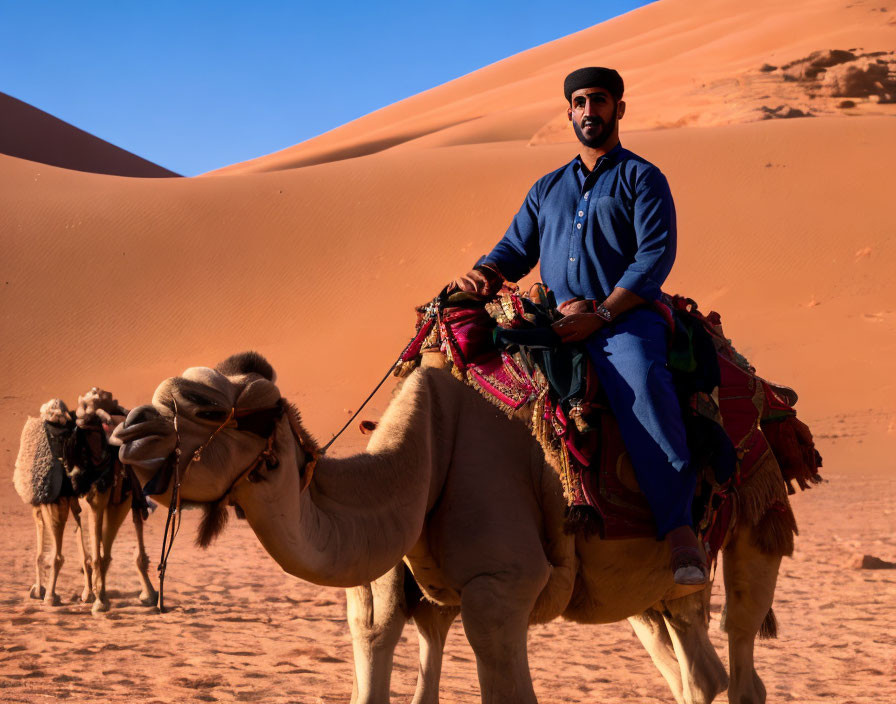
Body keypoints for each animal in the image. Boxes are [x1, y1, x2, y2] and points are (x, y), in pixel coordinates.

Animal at [114, 352, 800, 704]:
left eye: (204, 407)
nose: (127, 430)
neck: (423, 459)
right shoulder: (392, 596)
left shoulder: (498, 590)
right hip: (649, 591)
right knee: (696, 670)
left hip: (755, 524)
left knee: (742, 661)